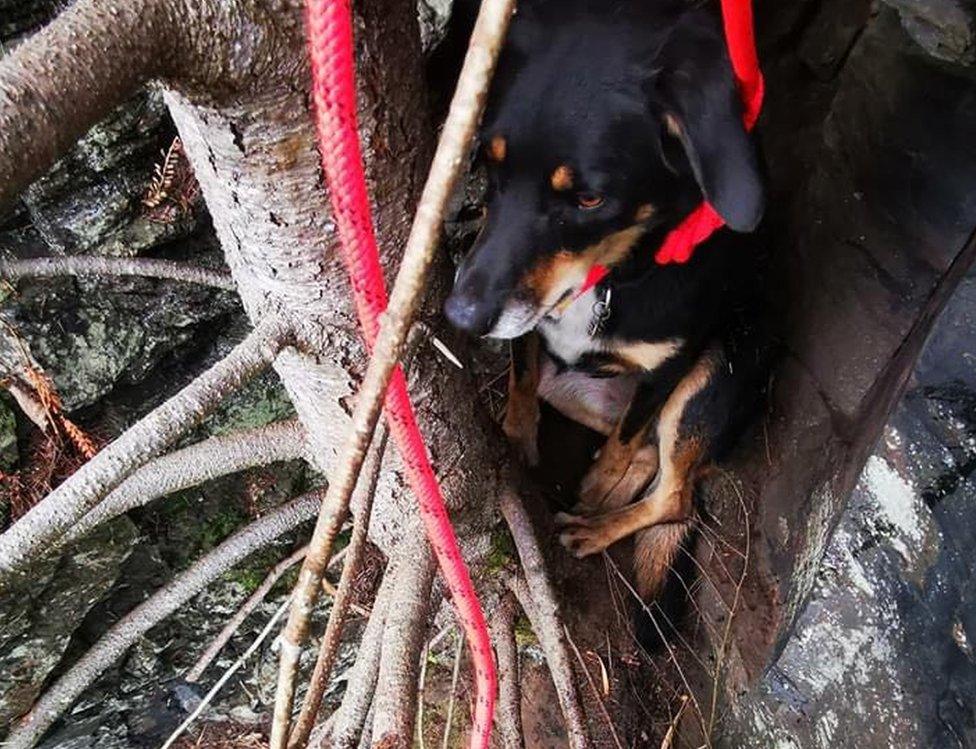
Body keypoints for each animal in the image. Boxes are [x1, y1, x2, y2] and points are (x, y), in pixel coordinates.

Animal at [442, 0, 772, 604]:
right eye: (489, 165)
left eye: (589, 199)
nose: (462, 316)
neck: (610, 276)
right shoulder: (527, 326)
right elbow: (522, 379)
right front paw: (516, 439)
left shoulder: (668, 368)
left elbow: (624, 438)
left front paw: (595, 490)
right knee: (648, 459)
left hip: (715, 375)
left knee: (674, 496)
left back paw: (595, 526)